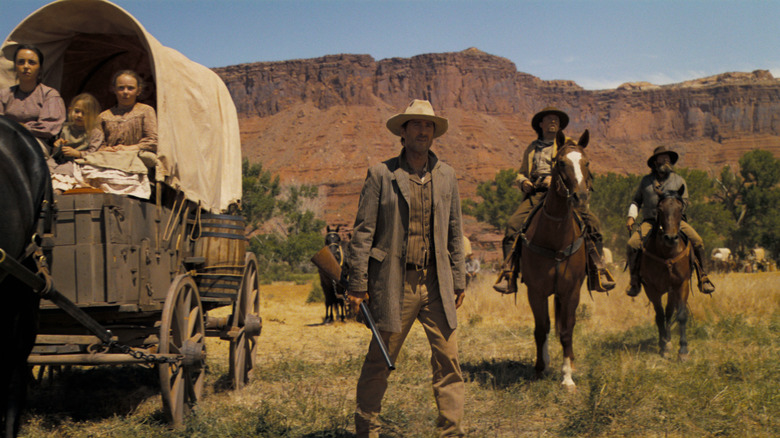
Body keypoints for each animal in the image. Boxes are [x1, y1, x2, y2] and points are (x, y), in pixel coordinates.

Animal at [520, 129, 588, 390]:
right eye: (560, 163)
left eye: (586, 162)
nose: (580, 196)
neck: (556, 239)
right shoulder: (536, 291)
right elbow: (541, 329)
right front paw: (540, 368)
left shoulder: (571, 290)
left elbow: (567, 330)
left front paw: (567, 377)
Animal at [640, 185, 696, 360]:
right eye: (660, 209)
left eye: (680, 208)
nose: (670, 238)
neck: (667, 254)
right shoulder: (651, 288)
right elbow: (659, 316)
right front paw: (663, 346)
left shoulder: (681, 284)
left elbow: (681, 315)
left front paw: (683, 350)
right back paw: (665, 341)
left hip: (672, 291)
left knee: (670, 312)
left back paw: (669, 340)